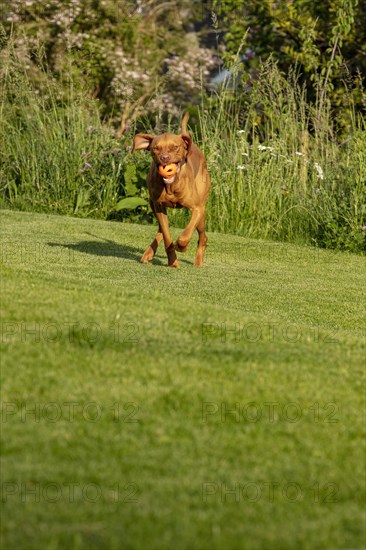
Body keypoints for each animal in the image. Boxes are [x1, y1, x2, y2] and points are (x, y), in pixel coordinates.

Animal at [133, 113, 210, 268]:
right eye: (155, 148)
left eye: (175, 147)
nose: (164, 158)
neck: (170, 186)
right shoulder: (158, 206)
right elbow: (167, 236)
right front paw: (172, 261)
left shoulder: (197, 209)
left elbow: (186, 234)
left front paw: (182, 246)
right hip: (153, 204)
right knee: (162, 229)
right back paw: (149, 253)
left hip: (202, 211)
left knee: (203, 237)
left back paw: (198, 261)